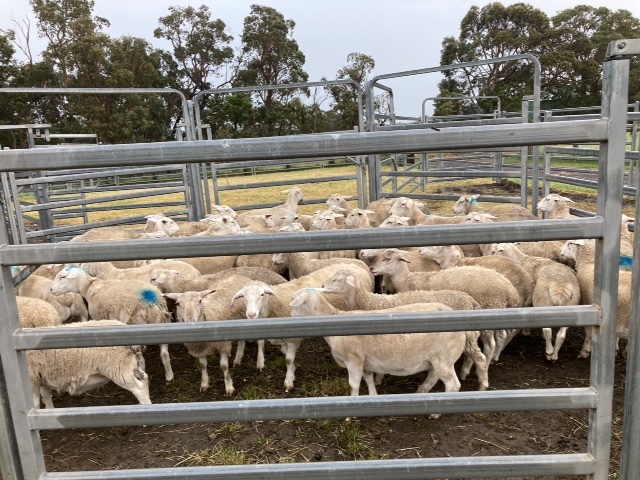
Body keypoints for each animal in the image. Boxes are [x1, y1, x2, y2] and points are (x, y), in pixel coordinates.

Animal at [230, 264, 375, 391]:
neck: (274, 306)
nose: (251, 314)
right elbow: (286, 355)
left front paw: (288, 381)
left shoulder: (293, 339)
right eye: (243, 297)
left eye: (262, 295)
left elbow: (288, 359)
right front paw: (293, 372)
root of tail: (354, 265)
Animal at [289, 288, 468, 395]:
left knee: (453, 385)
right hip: (436, 359)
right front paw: (372, 396)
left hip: (444, 358)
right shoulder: (366, 362)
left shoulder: (354, 360)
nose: (288, 317)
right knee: (432, 378)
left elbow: (353, 385)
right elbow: (368, 379)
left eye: (295, 306)